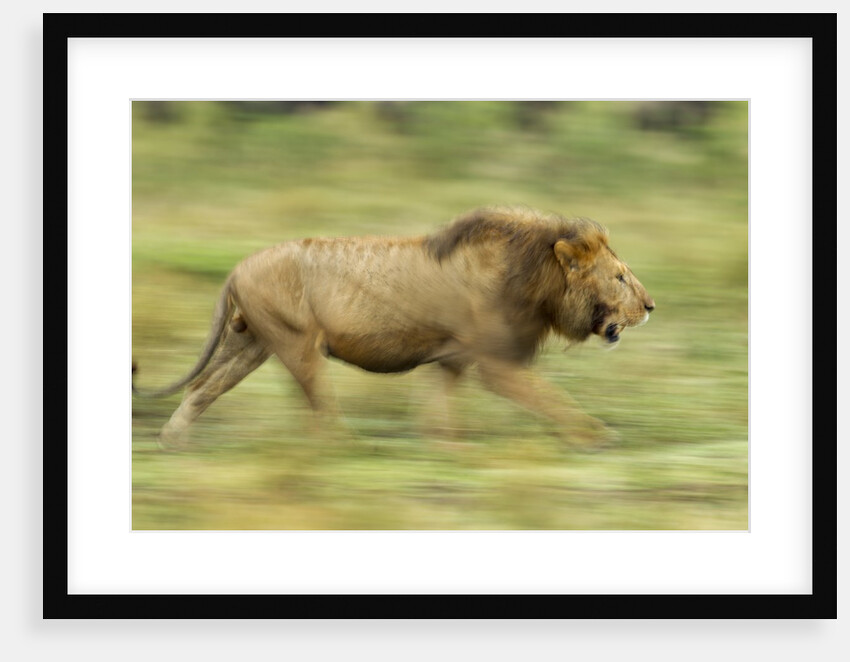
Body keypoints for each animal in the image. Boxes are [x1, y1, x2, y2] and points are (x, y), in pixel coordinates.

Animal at [132, 207, 655, 448]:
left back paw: (172, 442)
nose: (651, 305)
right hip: (296, 343)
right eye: (620, 277)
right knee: (320, 406)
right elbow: (553, 399)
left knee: (202, 388)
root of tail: (236, 268)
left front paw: (444, 448)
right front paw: (596, 436)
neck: (536, 277)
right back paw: (347, 449)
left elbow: (435, 410)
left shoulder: (454, 357)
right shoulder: (496, 363)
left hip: (251, 343)